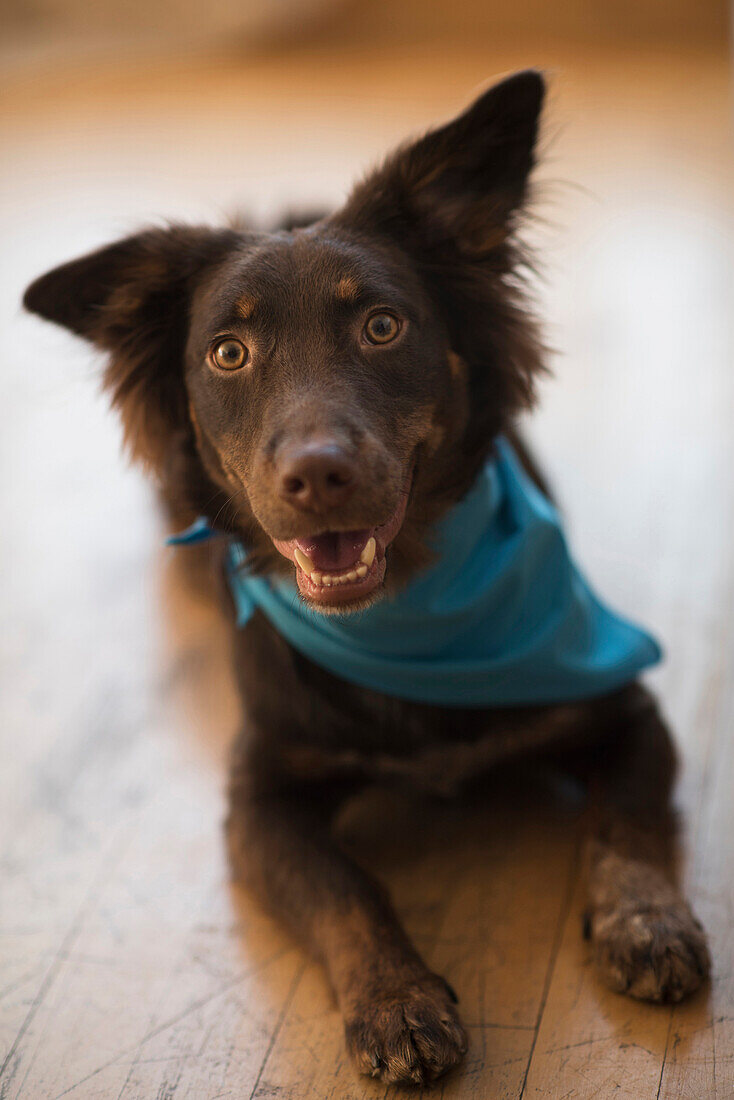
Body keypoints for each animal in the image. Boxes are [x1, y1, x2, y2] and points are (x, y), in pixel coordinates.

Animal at [24, 70, 713, 1091]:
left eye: (382, 327)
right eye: (228, 352)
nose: (316, 478)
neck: (404, 620)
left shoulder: (626, 708)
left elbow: (624, 823)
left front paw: (646, 921)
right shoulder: (258, 798)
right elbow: (346, 887)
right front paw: (396, 1002)